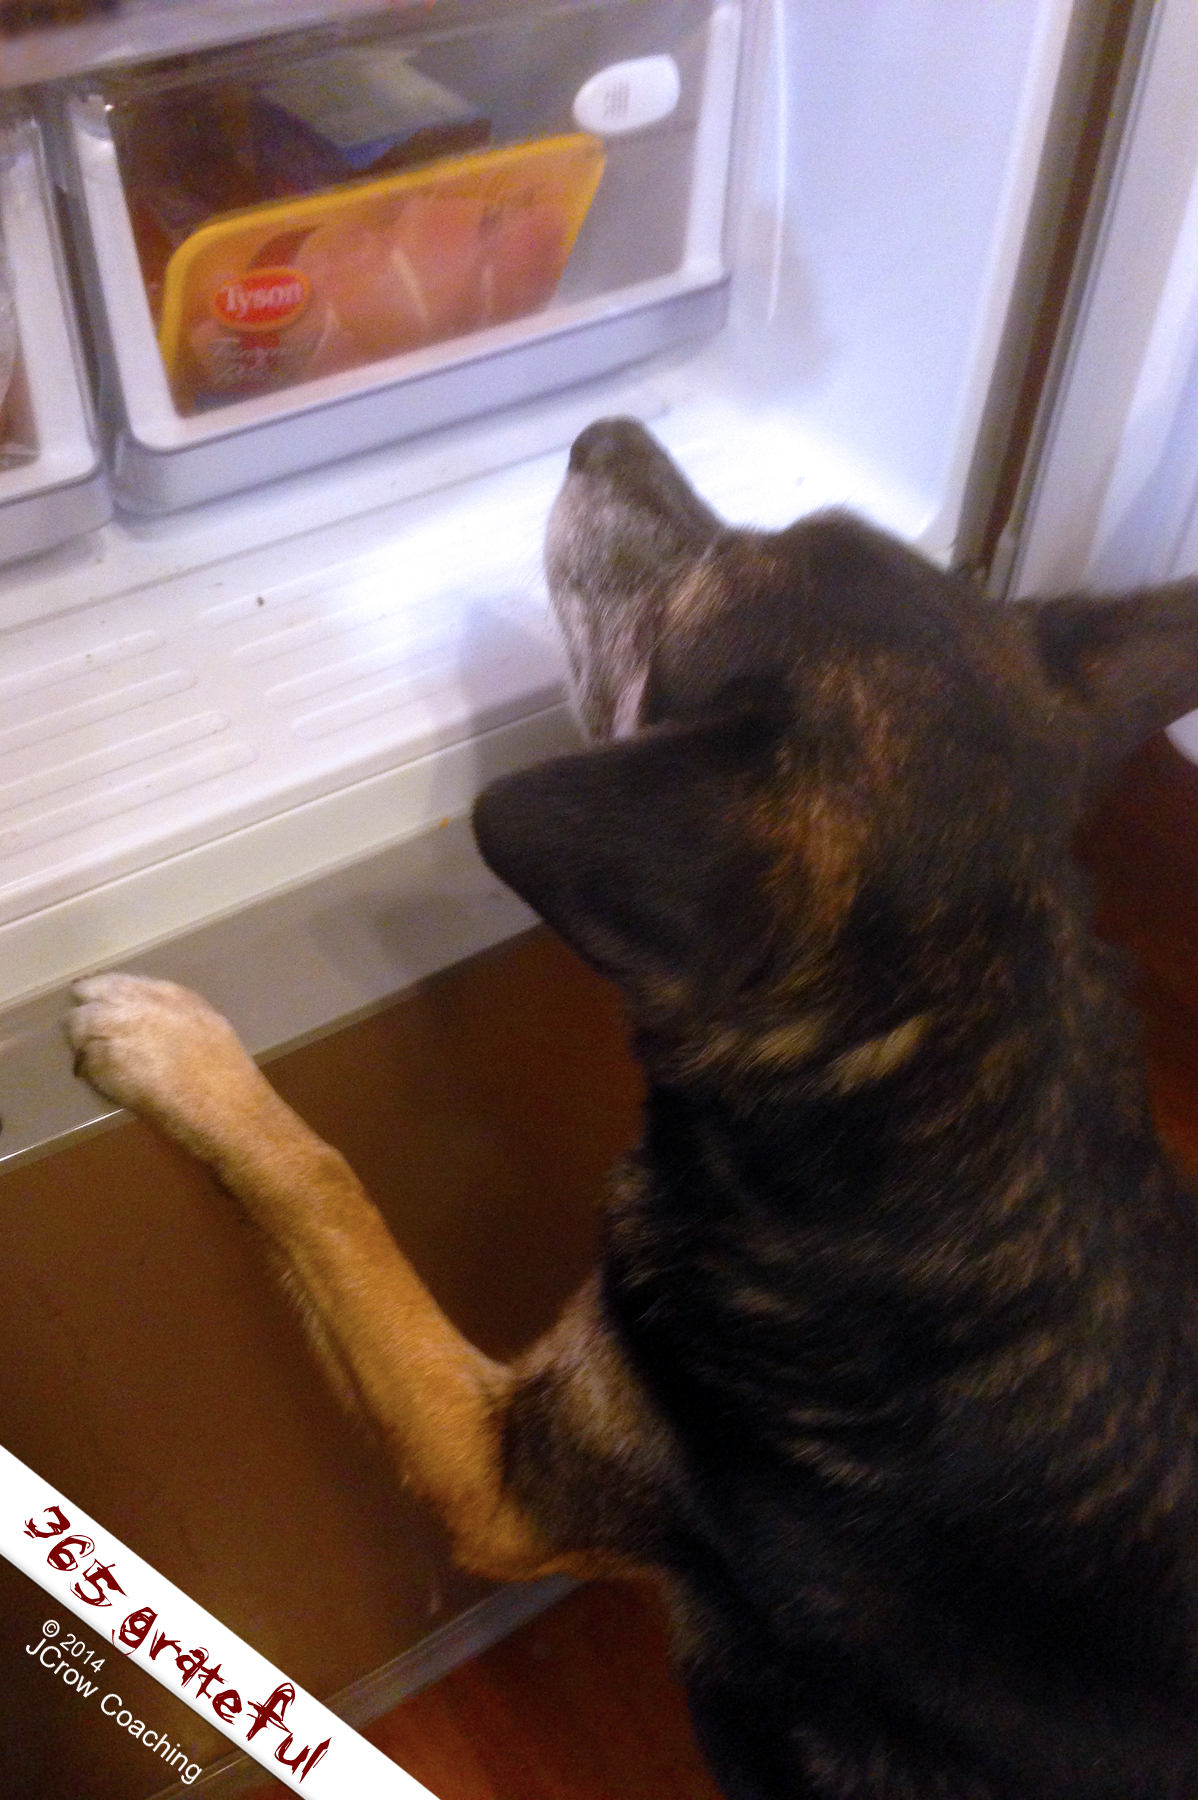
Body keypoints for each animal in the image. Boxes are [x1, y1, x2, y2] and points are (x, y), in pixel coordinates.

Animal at [70, 418, 1198, 1799]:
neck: (930, 1054)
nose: (602, 432)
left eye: (692, 590)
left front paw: (175, 1048)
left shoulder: (492, 1474)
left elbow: (322, 1180)